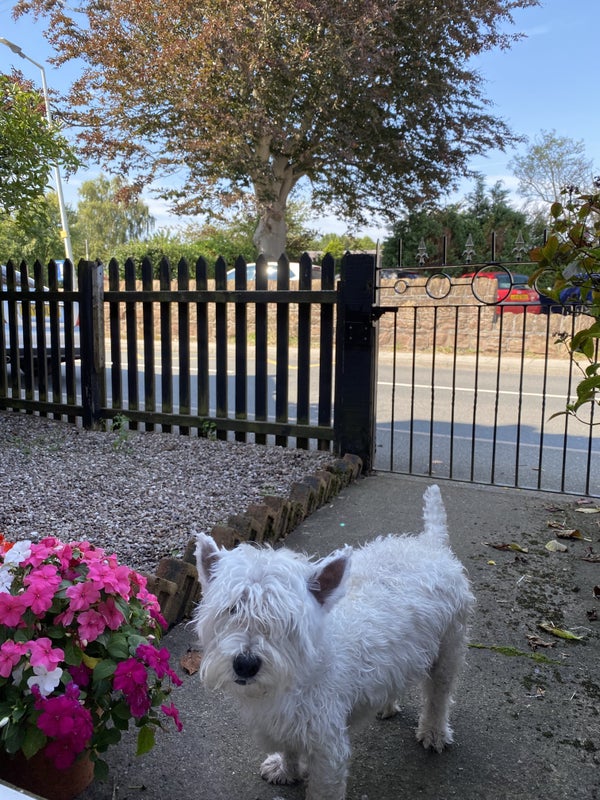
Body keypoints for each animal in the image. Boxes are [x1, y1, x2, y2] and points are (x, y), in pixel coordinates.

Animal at [193, 484, 474, 800]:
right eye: (232, 609)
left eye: (286, 618)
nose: (245, 664)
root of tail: (430, 544)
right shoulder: (286, 725)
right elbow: (289, 750)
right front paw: (286, 770)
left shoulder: (327, 744)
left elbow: (323, 788)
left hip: (449, 647)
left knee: (439, 695)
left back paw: (434, 733)